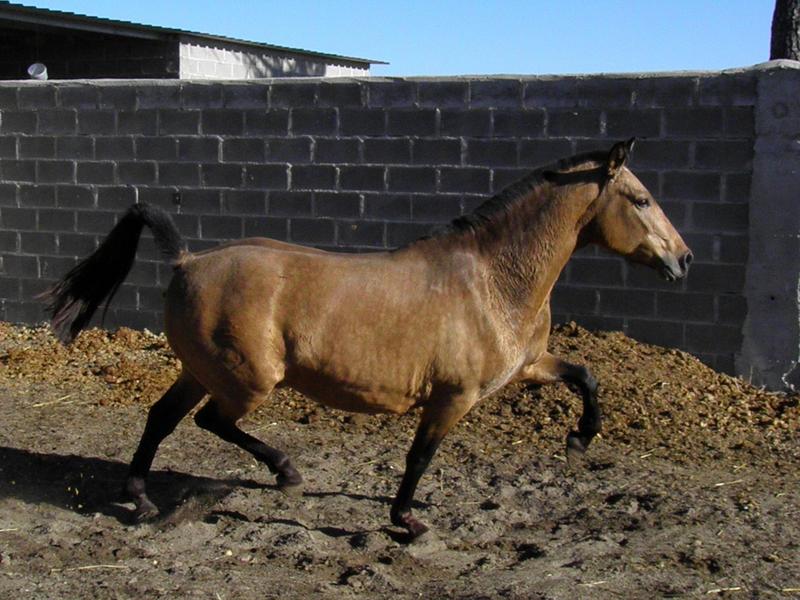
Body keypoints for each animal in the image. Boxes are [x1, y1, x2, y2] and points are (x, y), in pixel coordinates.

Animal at [42, 139, 691, 539]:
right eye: (641, 200)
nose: (683, 260)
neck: (491, 279)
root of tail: (186, 259)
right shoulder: (453, 396)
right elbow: (420, 455)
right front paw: (406, 521)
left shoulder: (527, 365)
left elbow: (586, 376)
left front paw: (580, 439)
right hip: (246, 380)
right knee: (210, 423)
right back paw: (285, 472)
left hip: (200, 371)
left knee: (161, 418)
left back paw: (142, 499)